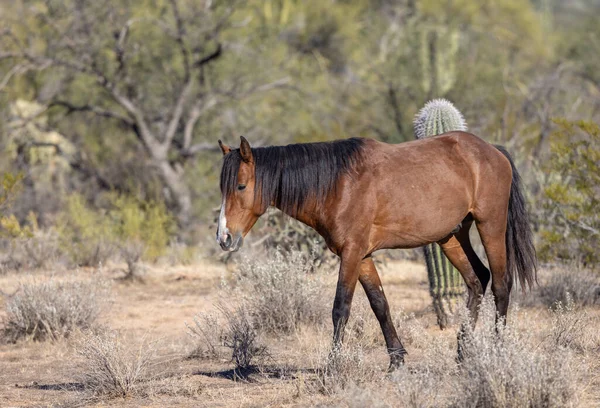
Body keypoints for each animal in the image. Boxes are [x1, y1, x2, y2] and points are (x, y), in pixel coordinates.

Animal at [217, 132, 540, 368]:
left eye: (241, 186)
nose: (224, 237)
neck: (338, 184)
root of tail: (493, 151)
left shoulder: (351, 253)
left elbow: (340, 308)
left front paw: (333, 365)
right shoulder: (362, 256)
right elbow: (380, 304)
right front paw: (396, 360)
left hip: (490, 226)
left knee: (501, 284)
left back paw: (496, 351)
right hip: (452, 236)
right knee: (477, 279)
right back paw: (462, 353)